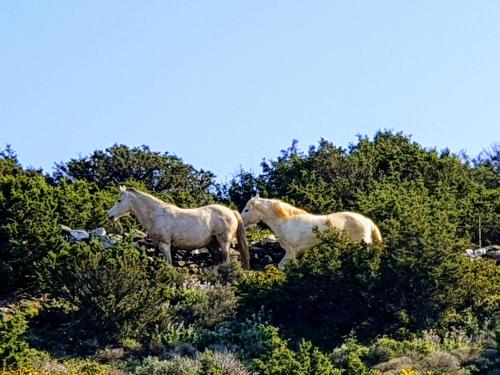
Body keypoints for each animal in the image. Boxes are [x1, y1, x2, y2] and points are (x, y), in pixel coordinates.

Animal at [108, 187, 250, 268]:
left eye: (119, 200)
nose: (110, 215)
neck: (156, 214)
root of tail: (232, 212)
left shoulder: (165, 244)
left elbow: (170, 265)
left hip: (224, 242)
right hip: (213, 244)